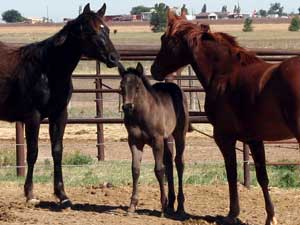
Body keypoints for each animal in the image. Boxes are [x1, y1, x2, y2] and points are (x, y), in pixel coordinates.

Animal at [0, 2, 119, 207]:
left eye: (108, 30)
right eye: (90, 30)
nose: (114, 58)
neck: (48, 70)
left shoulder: (59, 115)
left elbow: (57, 151)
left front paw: (62, 195)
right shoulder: (33, 116)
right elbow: (33, 152)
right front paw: (30, 194)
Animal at [118, 62, 189, 215]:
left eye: (137, 86)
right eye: (121, 86)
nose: (127, 107)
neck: (142, 114)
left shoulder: (157, 141)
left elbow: (159, 170)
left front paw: (162, 206)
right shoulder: (134, 142)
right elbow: (135, 169)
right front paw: (132, 206)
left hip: (179, 134)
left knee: (179, 163)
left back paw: (180, 206)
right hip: (166, 138)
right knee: (169, 162)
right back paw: (171, 204)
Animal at [151, 9, 300, 225]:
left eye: (164, 39)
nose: (154, 69)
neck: (225, 73)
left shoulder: (224, 137)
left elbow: (231, 173)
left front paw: (232, 214)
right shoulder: (254, 139)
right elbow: (262, 176)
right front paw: (271, 216)